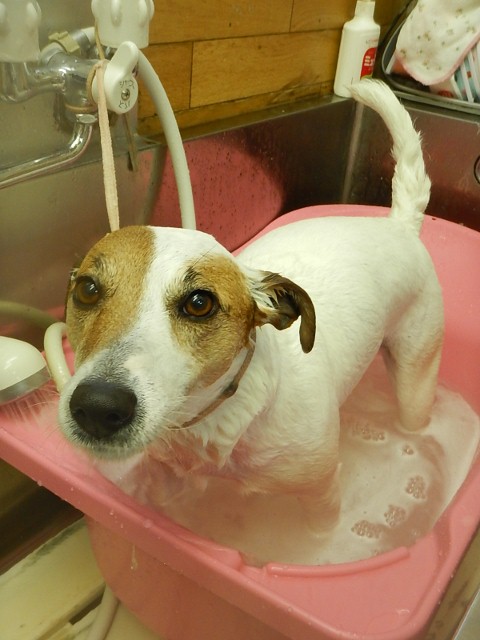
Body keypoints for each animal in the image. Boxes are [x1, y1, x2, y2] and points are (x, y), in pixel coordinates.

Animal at [58, 80, 444, 532]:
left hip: (416, 377)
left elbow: (316, 538)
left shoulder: (320, 494)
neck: (210, 424)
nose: (97, 406)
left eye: (199, 303)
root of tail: (399, 225)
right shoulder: (166, 478)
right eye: (87, 290)